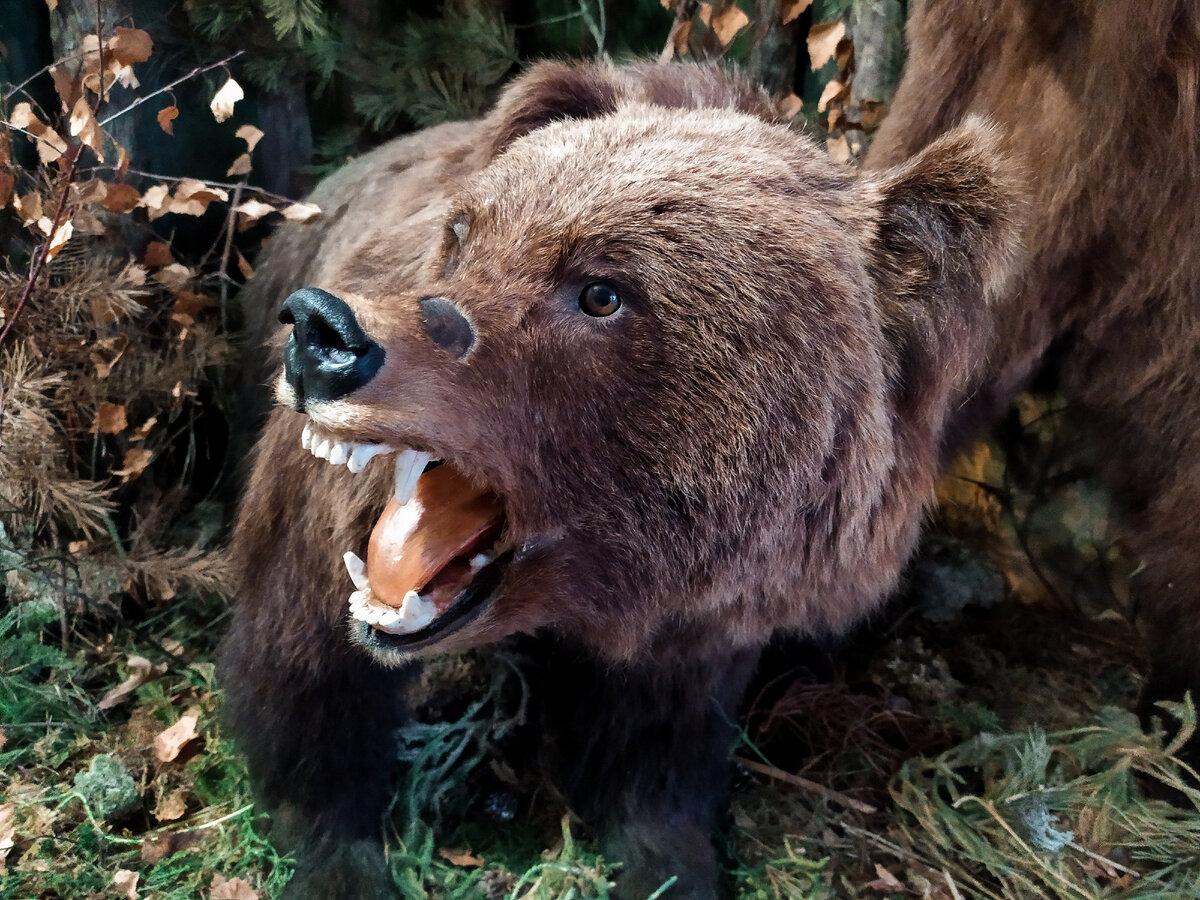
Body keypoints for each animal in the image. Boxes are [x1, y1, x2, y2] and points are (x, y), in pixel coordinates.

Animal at [223, 5, 1200, 897]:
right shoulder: (322, 530)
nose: (327, 334)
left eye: (603, 291)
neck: (613, 581)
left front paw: (668, 857)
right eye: (463, 233)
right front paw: (337, 853)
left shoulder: (703, 615)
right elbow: (311, 680)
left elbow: (653, 762)